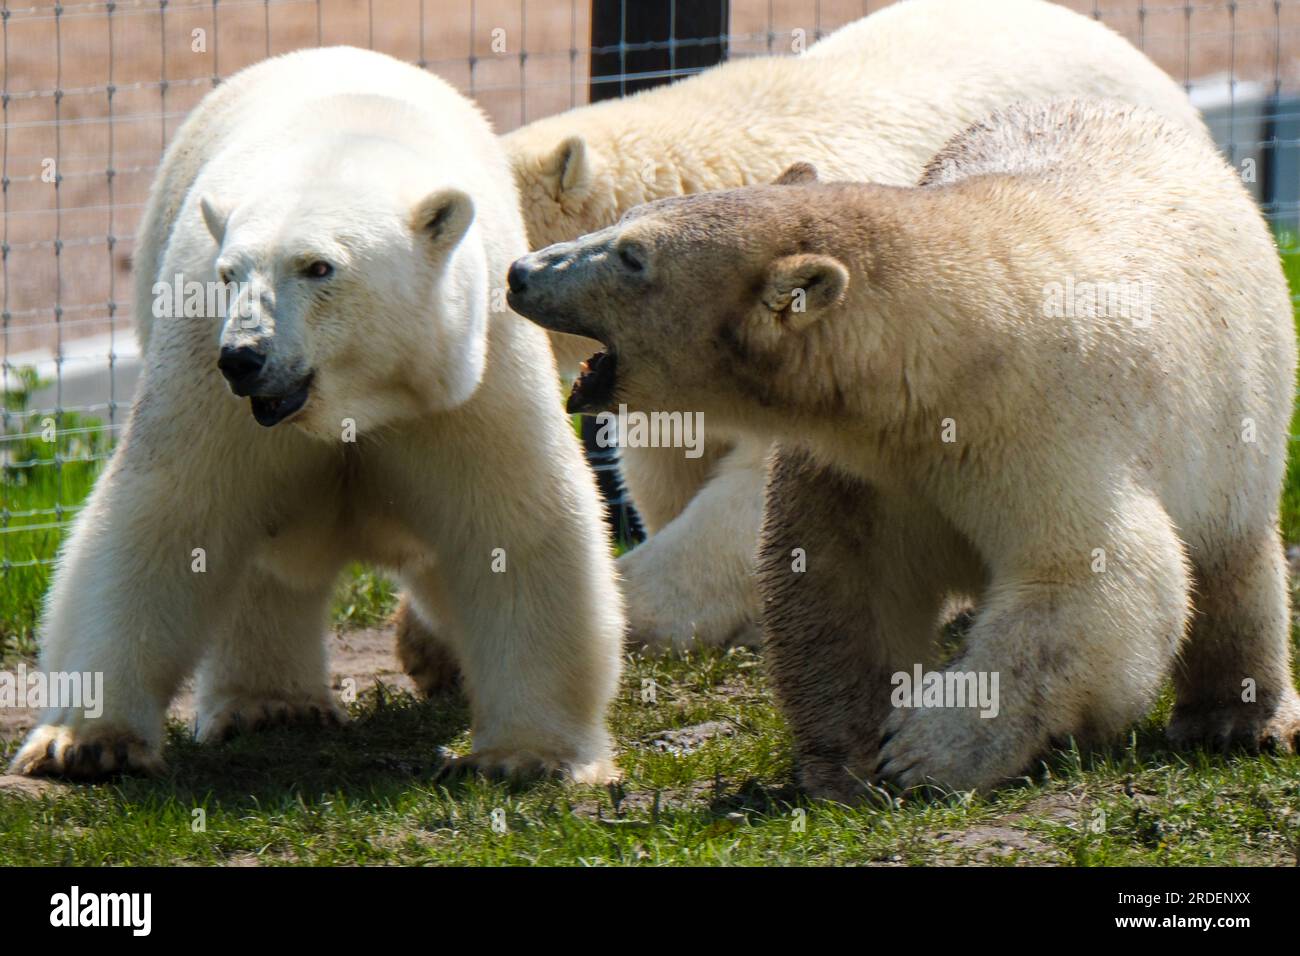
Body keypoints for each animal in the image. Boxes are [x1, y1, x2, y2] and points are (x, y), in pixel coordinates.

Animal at [11, 46, 624, 785]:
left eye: (319, 266)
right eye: (230, 274)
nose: (244, 357)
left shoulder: (462, 384)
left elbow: (515, 524)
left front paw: (527, 756)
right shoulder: (207, 378)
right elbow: (166, 514)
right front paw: (82, 743)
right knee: (260, 561)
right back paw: (271, 705)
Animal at [504, 100, 1300, 796]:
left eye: (633, 257)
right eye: (622, 222)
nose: (519, 272)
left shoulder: (1049, 423)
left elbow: (1089, 579)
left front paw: (930, 749)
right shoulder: (864, 462)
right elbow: (846, 582)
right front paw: (849, 757)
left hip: (1240, 402)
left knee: (1230, 561)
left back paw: (1235, 717)